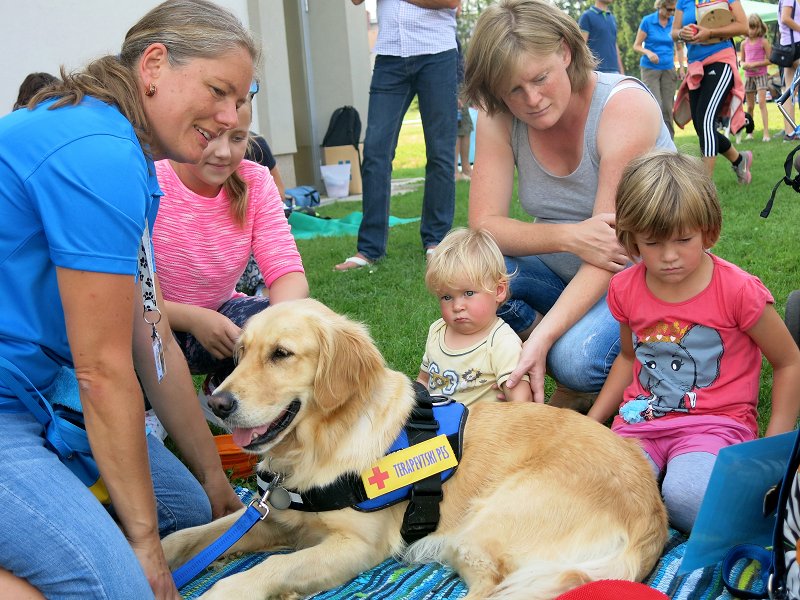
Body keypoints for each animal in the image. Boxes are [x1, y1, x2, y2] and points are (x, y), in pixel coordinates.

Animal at [162, 300, 668, 600]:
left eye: (281, 354)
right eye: (240, 352)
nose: (218, 403)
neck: (322, 443)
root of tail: (654, 519)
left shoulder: (357, 547)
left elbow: (266, 569)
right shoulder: (274, 518)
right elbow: (195, 536)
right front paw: (163, 559)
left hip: (483, 531)